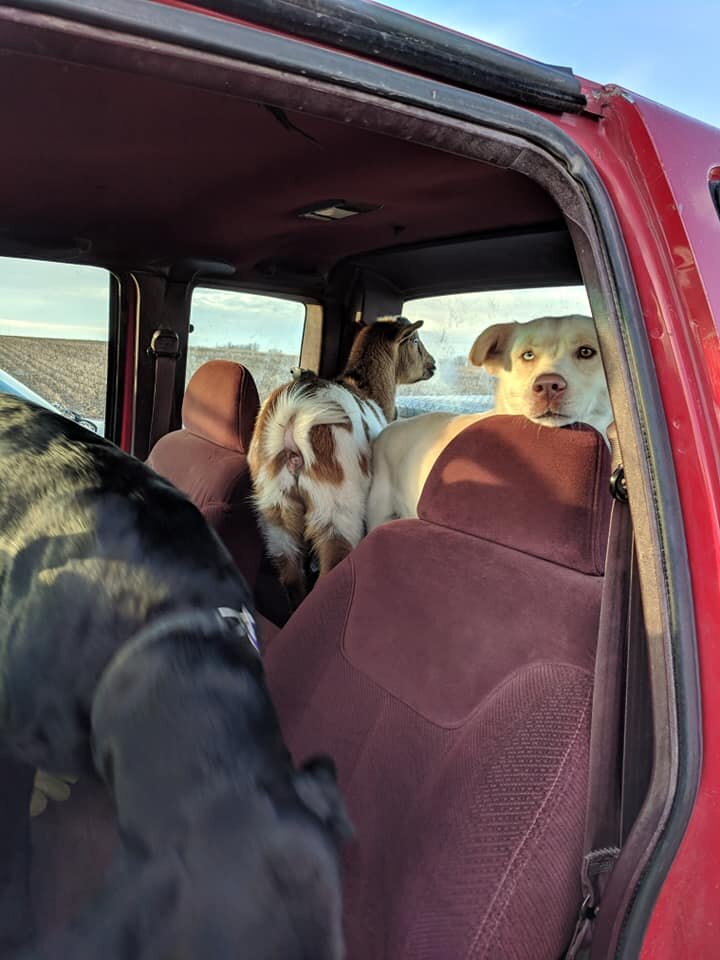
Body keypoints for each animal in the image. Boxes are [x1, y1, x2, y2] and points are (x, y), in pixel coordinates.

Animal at [248, 317, 436, 608]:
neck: (368, 389)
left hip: (274, 507)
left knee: (290, 570)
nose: (433, 364)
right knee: (332, 563)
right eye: (415, 340)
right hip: (337, 506)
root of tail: (294, 413)